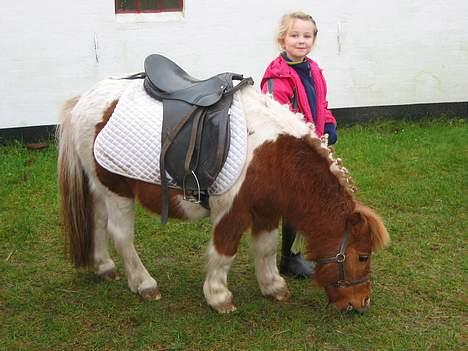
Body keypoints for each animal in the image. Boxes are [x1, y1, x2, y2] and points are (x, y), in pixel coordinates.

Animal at [56, 78, 390, 314]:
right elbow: (224, 251)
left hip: (100, 187)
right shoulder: (231, 210)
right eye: (363, 255)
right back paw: (144, 283)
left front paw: (272, 286)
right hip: (117, 190)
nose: (362, 303)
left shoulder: (267, 210)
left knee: (98, 222)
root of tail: (85, 98)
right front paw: (218, 297)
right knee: (121, 235)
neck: (272, 154)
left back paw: (104, 266)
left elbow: (266, 248)